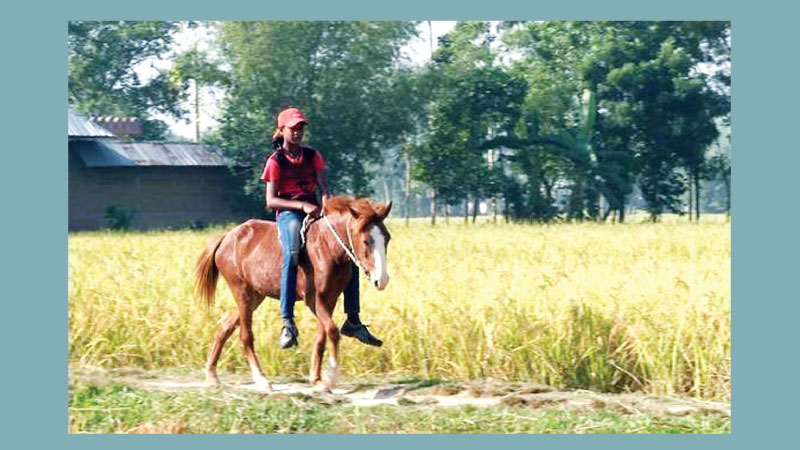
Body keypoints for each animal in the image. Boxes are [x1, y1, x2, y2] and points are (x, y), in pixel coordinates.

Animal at [195, 196, 392, 390]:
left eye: (387, 239)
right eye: (366, 241)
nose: (381, 280)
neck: (326, 247)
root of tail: (226, 237)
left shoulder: (330, 299)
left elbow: (321, 337)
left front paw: (316, 379)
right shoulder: (314, 299)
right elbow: (332, 331)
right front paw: (331, 375)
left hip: (255, 296)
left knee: (225, 327)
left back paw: (211, 373)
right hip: (242, 292)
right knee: (246, 336)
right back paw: (261, 378)